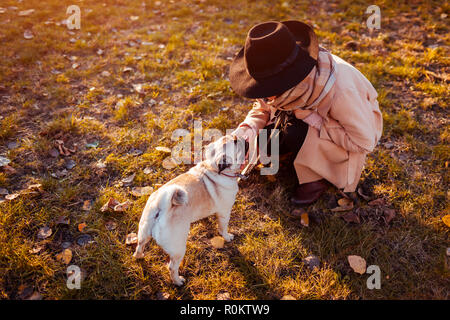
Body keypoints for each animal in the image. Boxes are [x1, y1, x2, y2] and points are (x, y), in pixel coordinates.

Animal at [134, 134, 248, 284]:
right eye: (235, 142)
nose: (242, 137)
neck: (212, 168)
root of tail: (161, 205)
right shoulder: (224, 212)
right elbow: (223, 228)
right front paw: (227, 237)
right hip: (178, 248)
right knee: (172, 267)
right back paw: (178, 281)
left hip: (143, 233)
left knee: (139, 246)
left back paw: (139, 257)